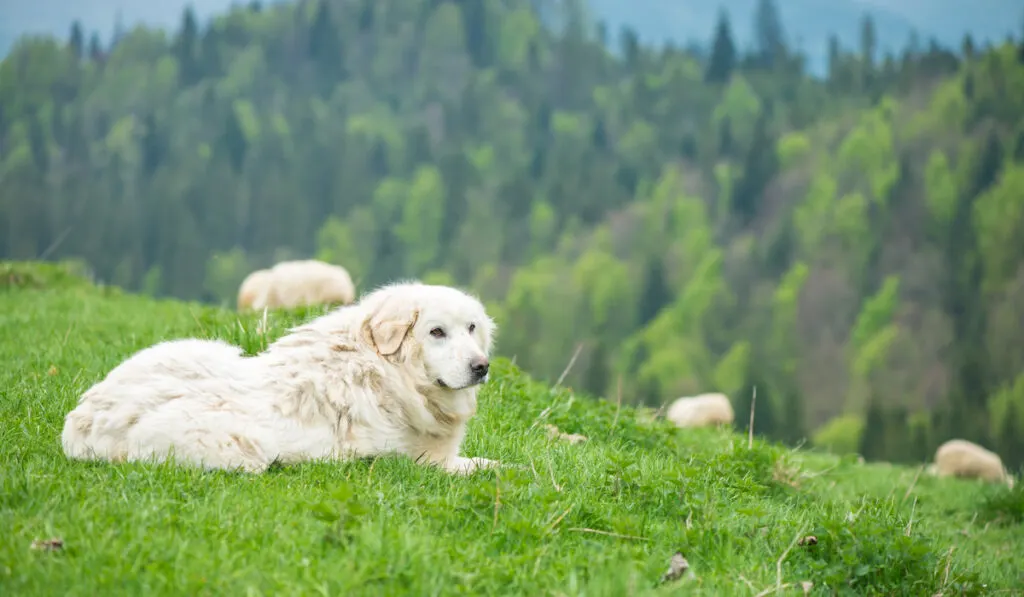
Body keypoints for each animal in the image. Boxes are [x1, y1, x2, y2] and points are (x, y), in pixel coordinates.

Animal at [59, 280, 499, 477]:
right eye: (436, 332)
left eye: (471, 328)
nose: (482, 366)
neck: (385, 370)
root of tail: (83, 420)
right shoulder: (415, 461)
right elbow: (489, 466)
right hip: (241, 446)